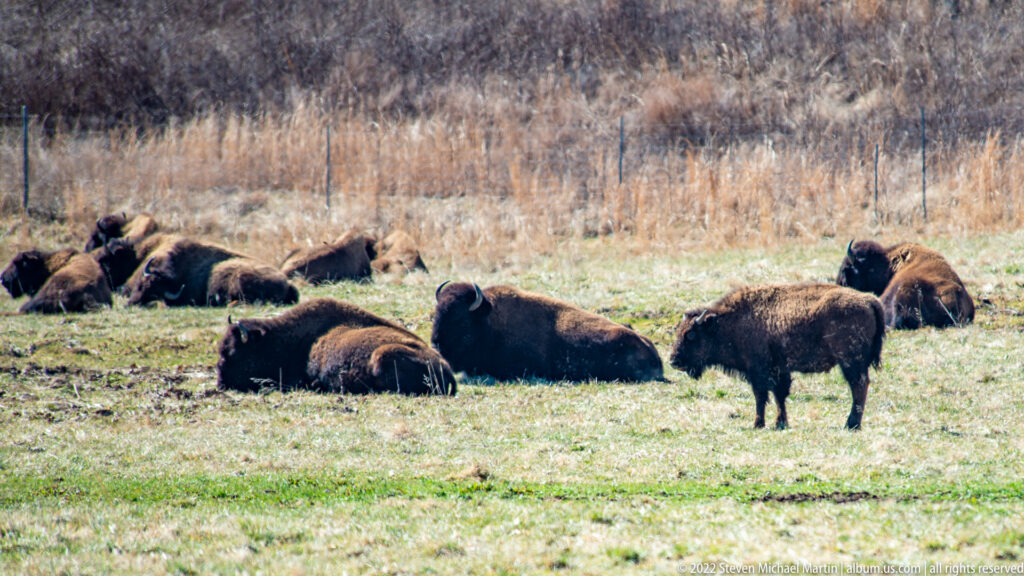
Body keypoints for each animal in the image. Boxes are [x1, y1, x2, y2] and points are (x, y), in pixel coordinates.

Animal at [670, 283, 885, 430]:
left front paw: (758, 424)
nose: (674, 361)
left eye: (691, 334)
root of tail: (870, 300)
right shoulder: (779, 370)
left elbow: (761, 396)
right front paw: (781, 423)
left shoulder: (758, 370)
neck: (729, 322)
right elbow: (779, 396)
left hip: (850, 361)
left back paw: (852, 424)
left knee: (859, 386)